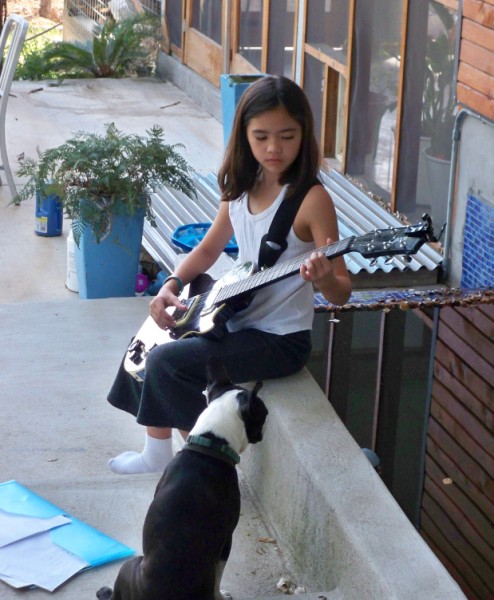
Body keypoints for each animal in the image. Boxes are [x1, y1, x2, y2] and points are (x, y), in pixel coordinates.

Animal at [97, 356, 268, 600]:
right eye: (264, 415)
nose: (263, 432)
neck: (210, 443)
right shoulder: (226, 540)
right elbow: (218, 576)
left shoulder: (225, 539)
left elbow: (218, 576)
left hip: (130, 565)